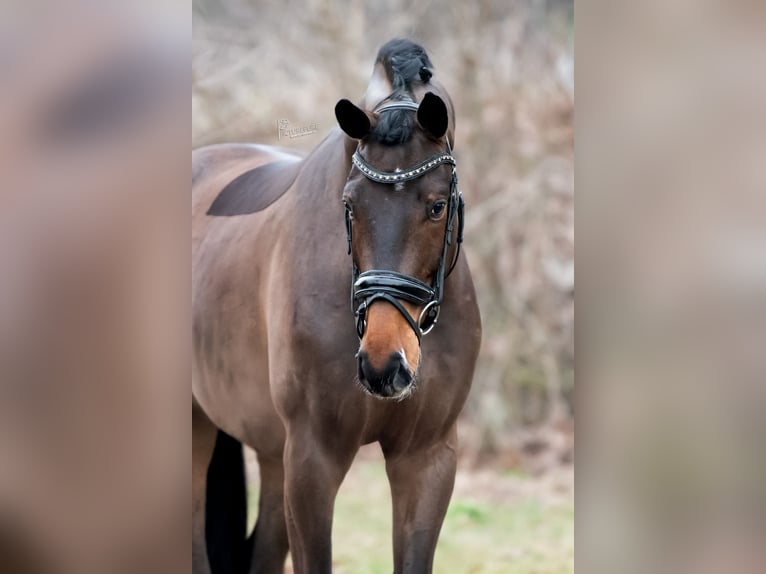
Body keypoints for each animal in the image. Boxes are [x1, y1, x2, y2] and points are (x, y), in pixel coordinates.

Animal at [192, 38, 481, 574]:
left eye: (436, 206)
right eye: (350, 205)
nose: (384, 364)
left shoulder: (427, 458)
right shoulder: (313, 459)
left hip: (271, 451)